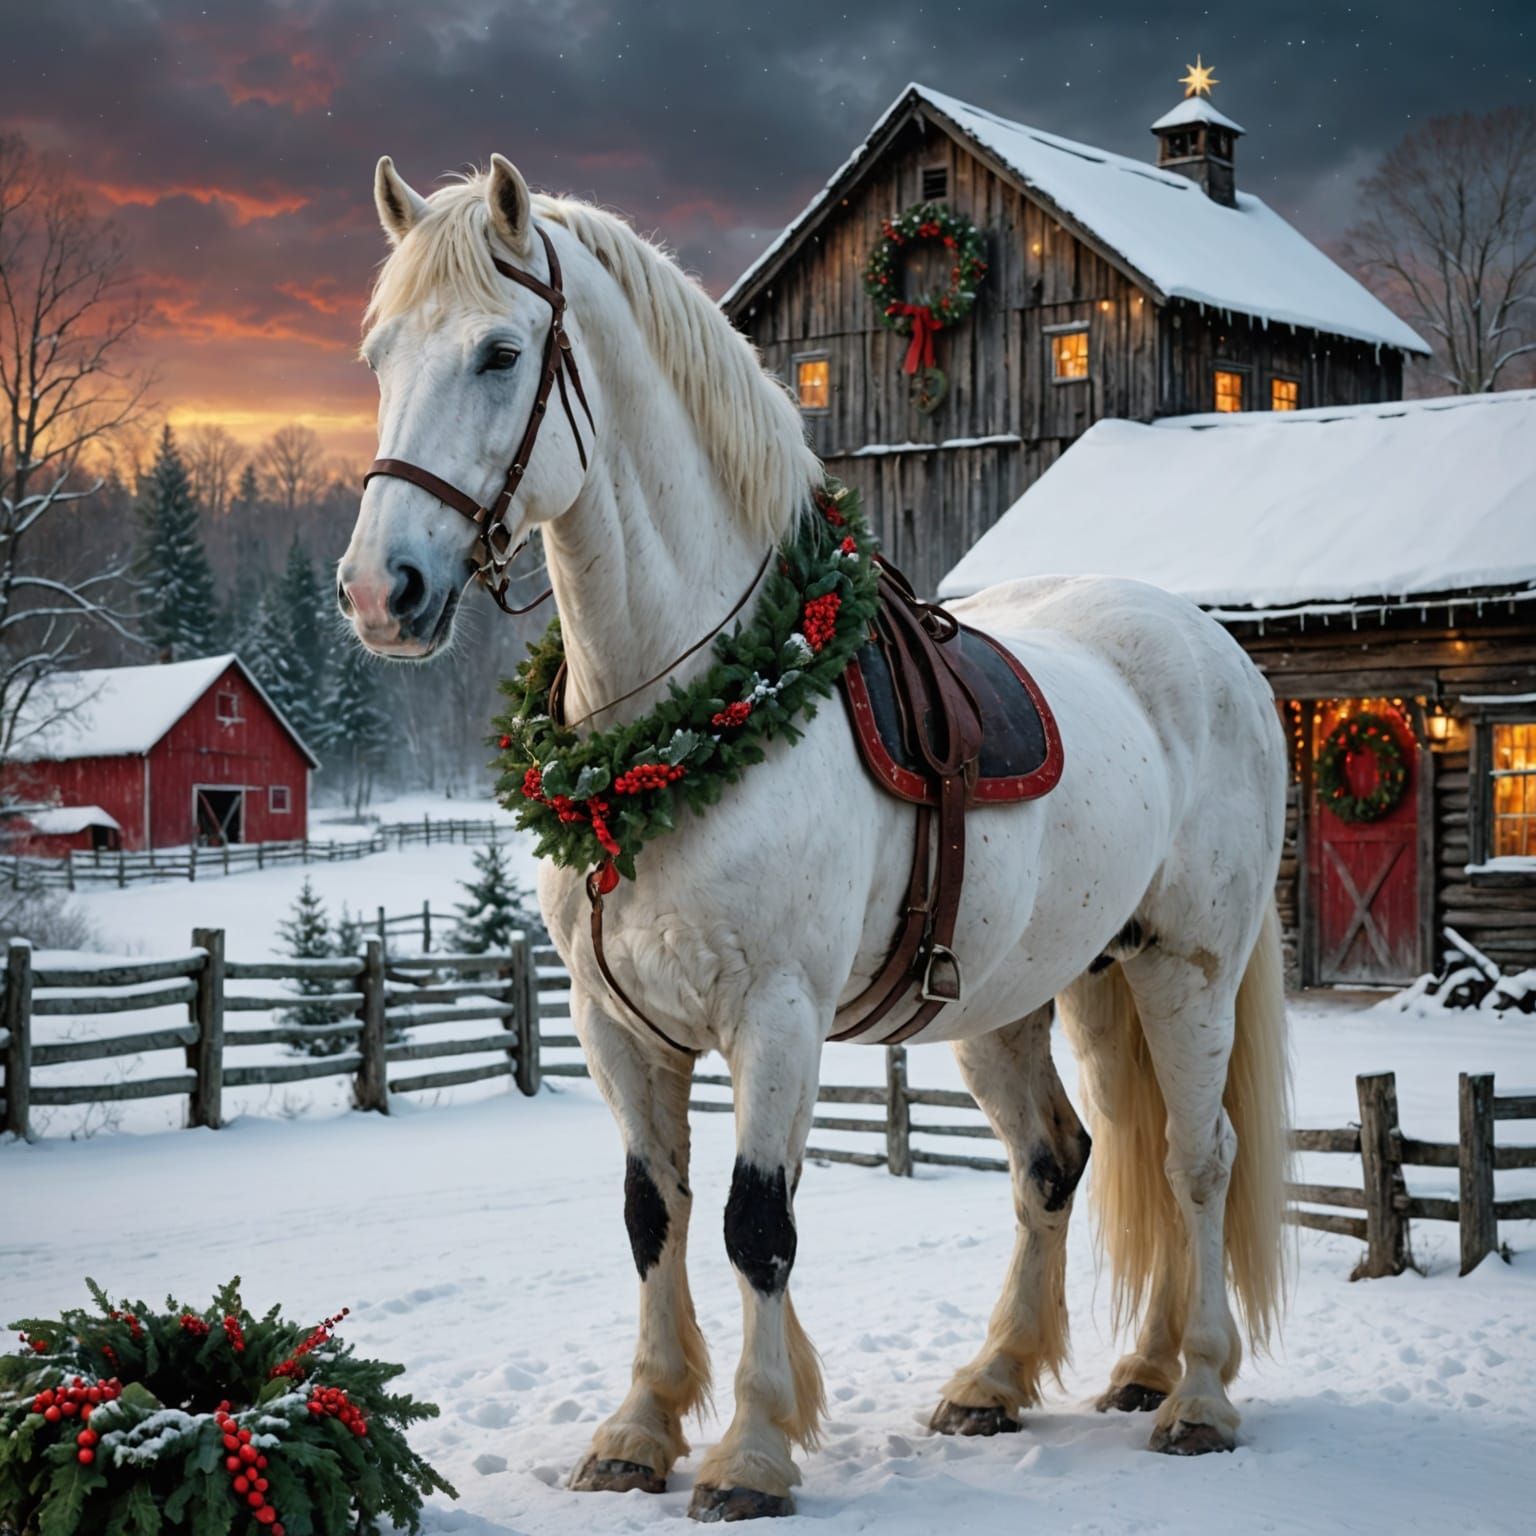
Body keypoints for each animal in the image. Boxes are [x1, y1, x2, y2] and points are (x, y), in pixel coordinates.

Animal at [339, 153, 1291, 1521]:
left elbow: (756, 1226)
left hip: (1187, 969)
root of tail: (1217, 653)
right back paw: (1041, 1375)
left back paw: (1199, 1396)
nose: (383, 592)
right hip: (1045, 991)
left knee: (1198, 1159)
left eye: (500, 352)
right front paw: (639, 1429)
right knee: (1074, 1157)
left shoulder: (773, 1016)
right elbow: (654, 1216)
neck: (672, 729)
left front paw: (748, 1450)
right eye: (379, 355)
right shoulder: (617, 1029)